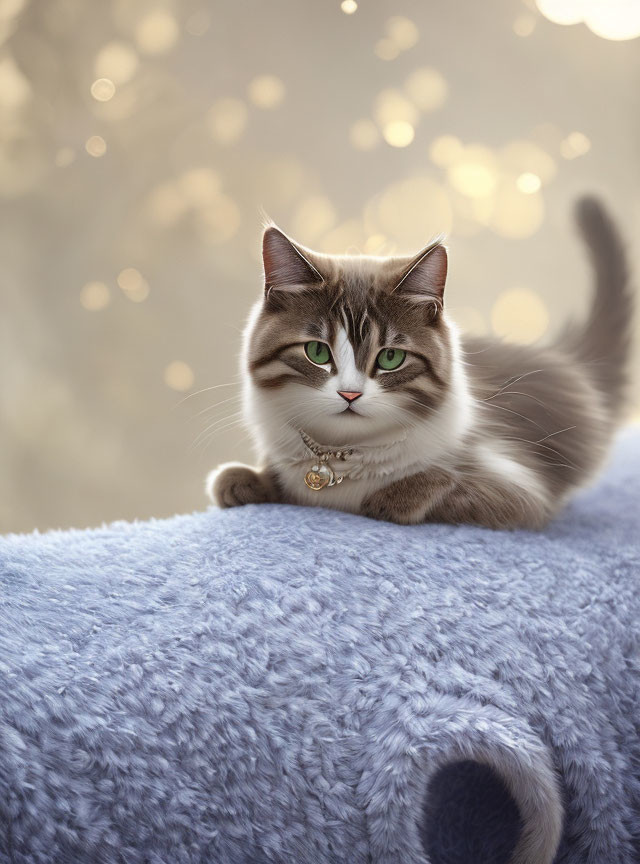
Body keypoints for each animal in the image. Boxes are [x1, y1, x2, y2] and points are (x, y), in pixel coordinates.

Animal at [208, 198, 632, 528]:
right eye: (317, 352)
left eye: (390, 357)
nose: (350, 394)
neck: (340, 455)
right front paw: (242, 478)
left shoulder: (516, 486)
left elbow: (447, 480)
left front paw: (389, 497)